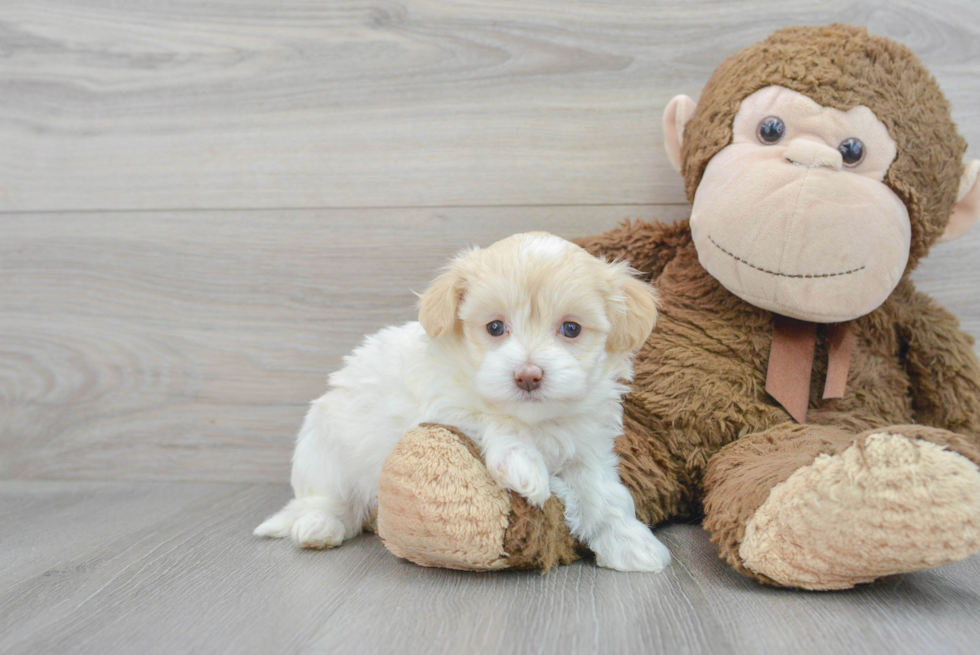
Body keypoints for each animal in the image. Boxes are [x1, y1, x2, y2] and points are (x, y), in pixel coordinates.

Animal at [256, 233, 672, 572]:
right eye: (495, 327)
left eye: (571, 329)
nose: (528, 375)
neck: (537, 420)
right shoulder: (443, 405)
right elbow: (492, 419)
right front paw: (526, 467)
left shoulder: (588, 450)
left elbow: (605, 496)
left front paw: (630, 543)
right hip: (323, 452)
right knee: (328, 500)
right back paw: (318, 526)